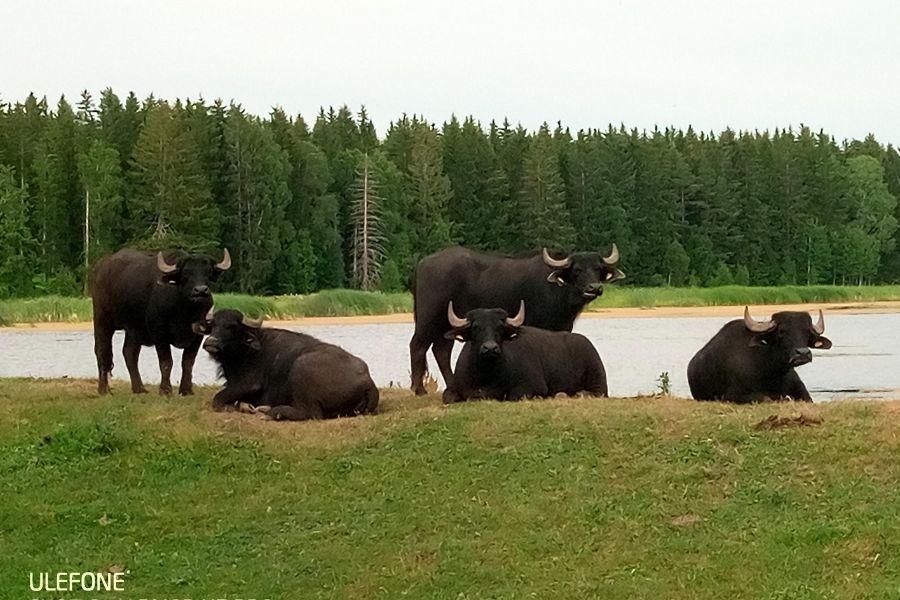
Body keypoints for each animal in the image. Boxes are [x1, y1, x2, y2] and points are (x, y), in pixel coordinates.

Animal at [90, 246, 232, 396]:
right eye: (185, 273)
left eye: (208, 272)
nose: (201, 290)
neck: (184, 310)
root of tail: (100, 267)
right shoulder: (159, 333)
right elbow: (166, 362)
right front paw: (165, 389)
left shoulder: (198, 334)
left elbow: (188, 362)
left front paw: (186, 389)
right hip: (102, 320)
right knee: (102, 351)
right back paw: (103, 389)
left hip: (133, 329)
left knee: (129, 353)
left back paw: (139, 388)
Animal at [195, 310, 378, 422]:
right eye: (213, 325)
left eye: (232, 326)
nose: (211, 342)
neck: (248, 351)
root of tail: (368, 382)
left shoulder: (248, 384)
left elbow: (218, 399)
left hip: (301, 366)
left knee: (310, 413)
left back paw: (271, 412)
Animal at [442, 300, 608, 404]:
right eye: (475, 327)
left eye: (500, 327)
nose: (490, 348)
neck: (486, 375)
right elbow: (447, 397)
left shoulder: (533, 386)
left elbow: (513, 396)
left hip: (597, 378)